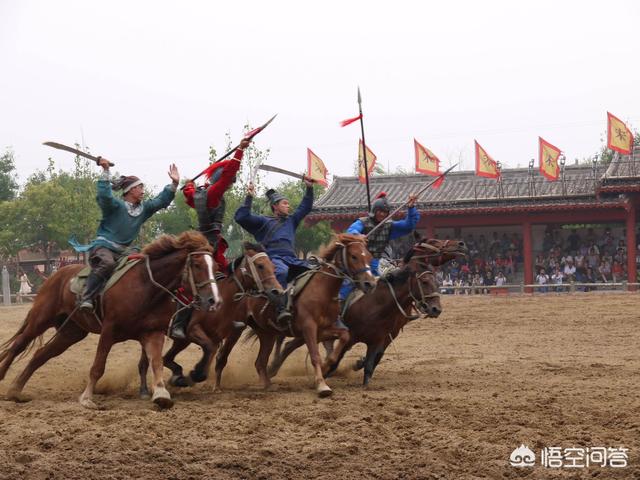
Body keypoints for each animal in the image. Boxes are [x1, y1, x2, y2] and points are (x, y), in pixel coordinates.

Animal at [0, 230, 219, 408]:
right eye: (197, 264)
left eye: (215, 266)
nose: (213, 300)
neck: (146, 287)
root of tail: (56, 275)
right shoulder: (109, 330)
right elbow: (98, 367)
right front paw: (87, 398)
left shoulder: (153, 333)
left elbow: (156, 362)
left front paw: (161, 394)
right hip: (40, 319)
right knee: (18, 346)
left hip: (71, 332)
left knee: (40, 355)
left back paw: (15, 391)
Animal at [155, 244, 282, 390]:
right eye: (260, 265)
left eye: (273, 266)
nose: (277, 290)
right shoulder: (194, 330)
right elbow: (210, 349)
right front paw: (198, 376)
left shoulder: (227, 334)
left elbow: (217, 355)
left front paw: (203, 380)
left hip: (182, 341)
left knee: (166, 358)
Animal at [212, 233, 378, 398]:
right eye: (354, 256)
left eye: (369, 256)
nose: (370, 284)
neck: (323, 290)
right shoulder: (309, 327)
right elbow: (315, 355)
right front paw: (321, 385)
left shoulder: (324, 329)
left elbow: (343, 338)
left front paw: (325, 369)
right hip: (236, 329)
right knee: (222, 357)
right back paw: (217, 386)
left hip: (267, 333)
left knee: (260, 362)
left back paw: (268, 385)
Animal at [264, 237, 464, 386]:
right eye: (435, 241)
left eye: (436, 281)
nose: (435, 308)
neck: (377, 304)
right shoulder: (351, 336)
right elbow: (337, 359)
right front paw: (329, 372)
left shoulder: (386, 335)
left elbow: (373, 360)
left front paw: (359, 366)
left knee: (291, 345)